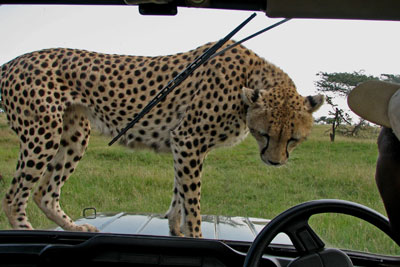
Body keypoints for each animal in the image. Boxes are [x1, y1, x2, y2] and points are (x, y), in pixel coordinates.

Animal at [0, 41, 324, 239]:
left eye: (293, 139)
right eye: (264, 134)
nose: (274, 162)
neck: (251, 78)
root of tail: (13, 61)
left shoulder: (184, 145)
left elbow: (179, 193)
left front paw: (175, 231)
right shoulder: (188, 139)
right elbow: (192, 202)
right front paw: (196, 236)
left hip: (76, 133)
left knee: (44, 192)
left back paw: (74, 228)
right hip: (43, 133)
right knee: (14, 195)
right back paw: (26, 234)